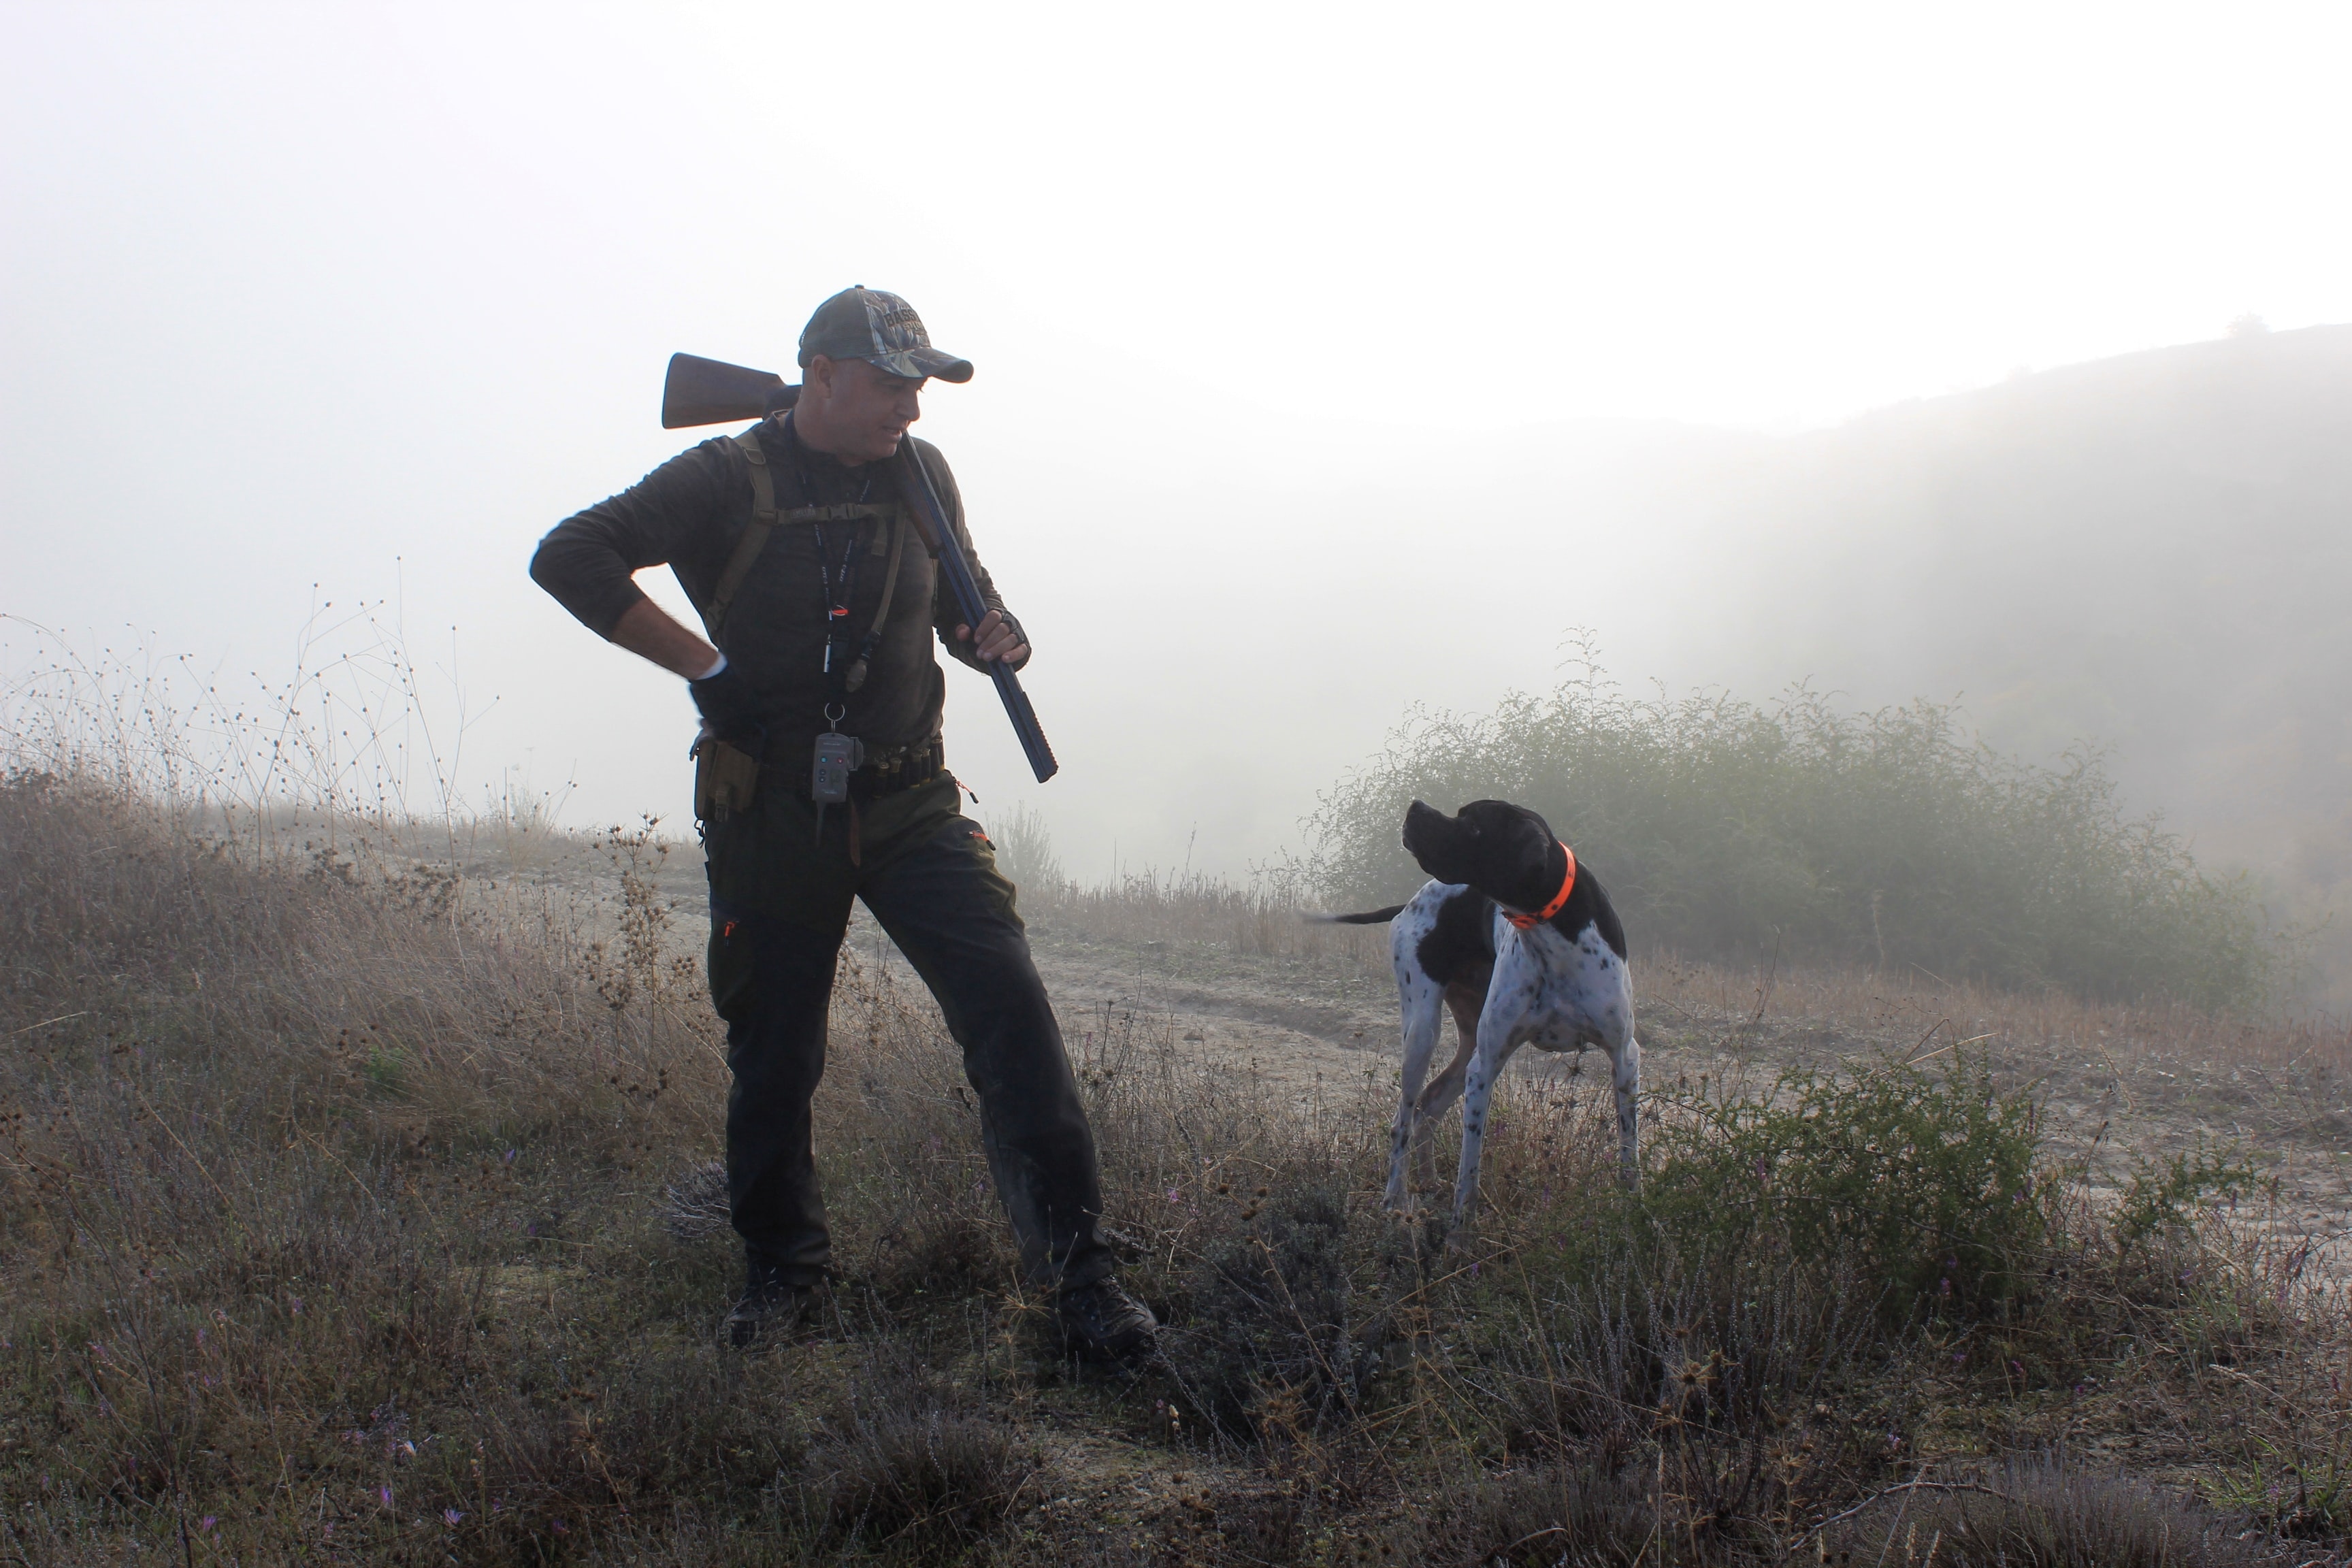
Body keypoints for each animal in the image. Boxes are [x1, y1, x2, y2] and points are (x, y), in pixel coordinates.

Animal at [1326, 804, 1637, 1232]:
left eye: (1473, 825)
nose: (1415, 806)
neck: (1553, 933)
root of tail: (1410, 901)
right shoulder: (1485, 1067)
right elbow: (1468, 1178)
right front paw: (1458, 1237)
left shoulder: (1625, 1059)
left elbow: (1629, 1162)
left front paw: (1635, 1218)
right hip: (1423, 1033)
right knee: (1403, 1121)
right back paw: (1394, 1200)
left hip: (1468, 1043)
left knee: (1429, 1106)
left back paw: (1427, 1184)